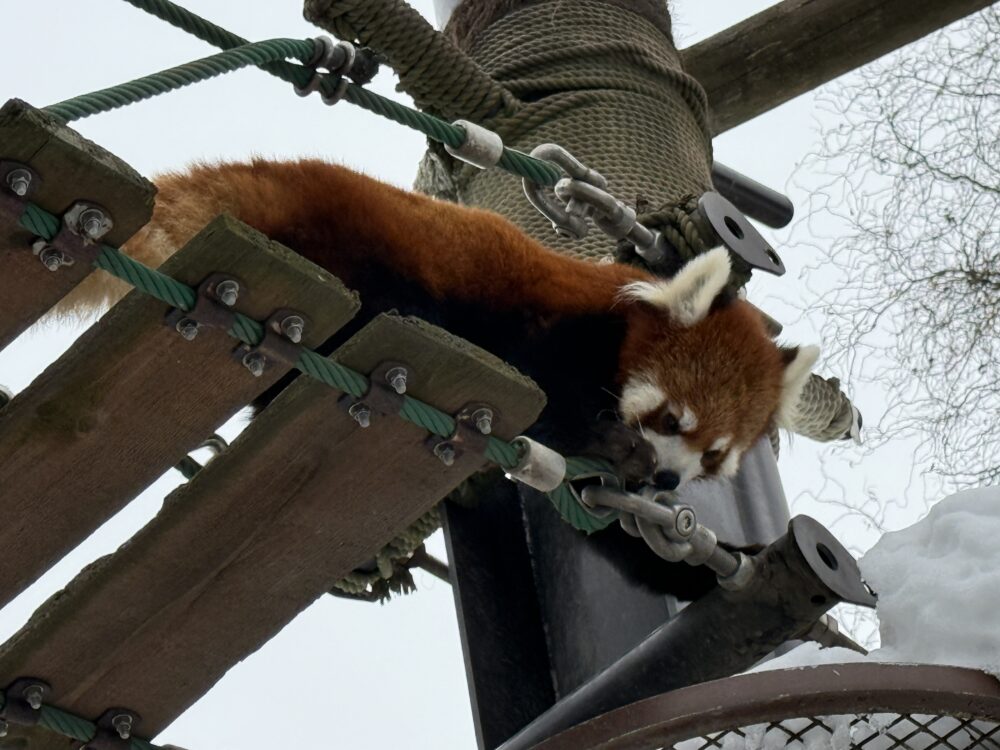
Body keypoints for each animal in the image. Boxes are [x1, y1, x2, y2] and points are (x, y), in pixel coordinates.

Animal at [62, 159, 816, 490]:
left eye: (714, 455)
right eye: (670, 420)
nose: (666, 480)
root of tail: (273, 176)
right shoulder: (545, 323)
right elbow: (546, 391)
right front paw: (608, 444)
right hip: (352, 259)